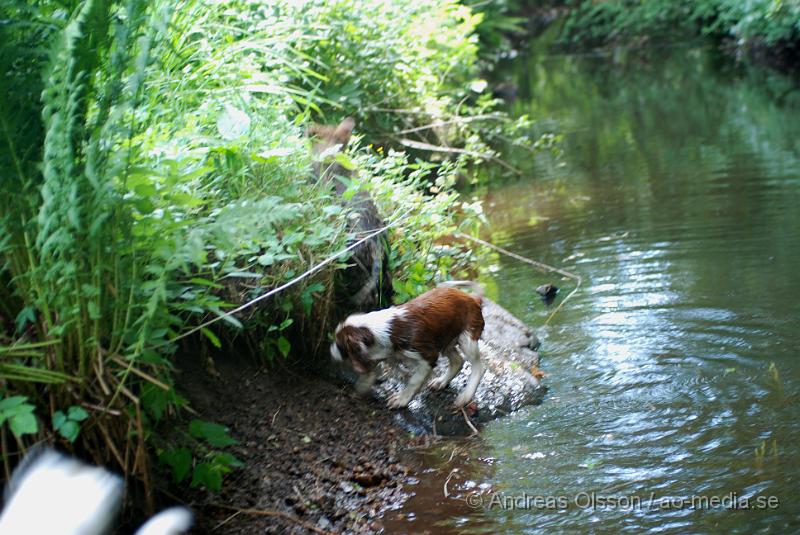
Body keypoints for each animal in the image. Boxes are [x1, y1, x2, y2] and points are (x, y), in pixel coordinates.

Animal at [330, 282, 484, 408]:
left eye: (339, 344)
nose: (330, 350)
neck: (387, 330)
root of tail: (473, 299)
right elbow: (369, 373)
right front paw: (359, 390)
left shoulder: (427, 356)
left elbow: (414, 381)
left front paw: (401, 400)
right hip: (446, 339)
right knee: (458, 360)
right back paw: (441, 382)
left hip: (467, 338)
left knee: (478, 365)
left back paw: (466, 396)